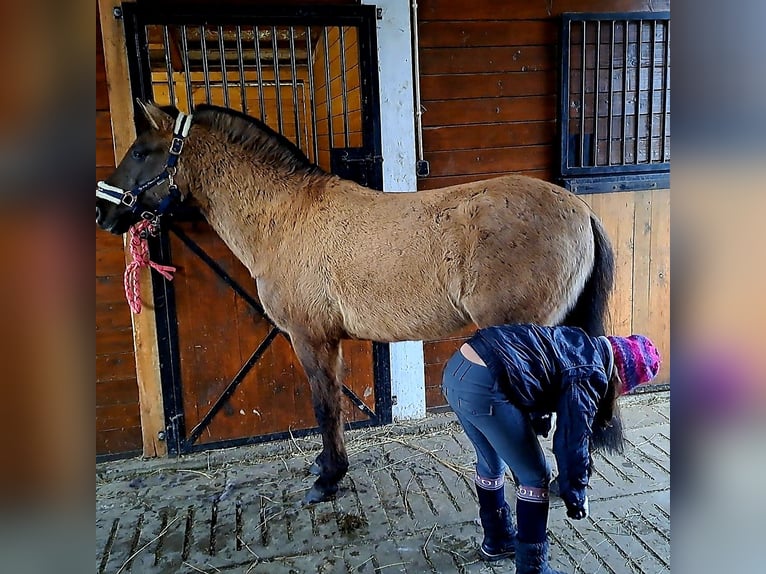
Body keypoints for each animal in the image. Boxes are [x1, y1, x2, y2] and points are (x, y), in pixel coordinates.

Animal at [96, 101, 615, 503]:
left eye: (141, 152)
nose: (103, 211)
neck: (286, 218)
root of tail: (580, 211)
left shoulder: (310, 338)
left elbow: (325, 406)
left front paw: (327, 480)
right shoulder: (331, 341)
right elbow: (333, 405)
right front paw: (326, 467)